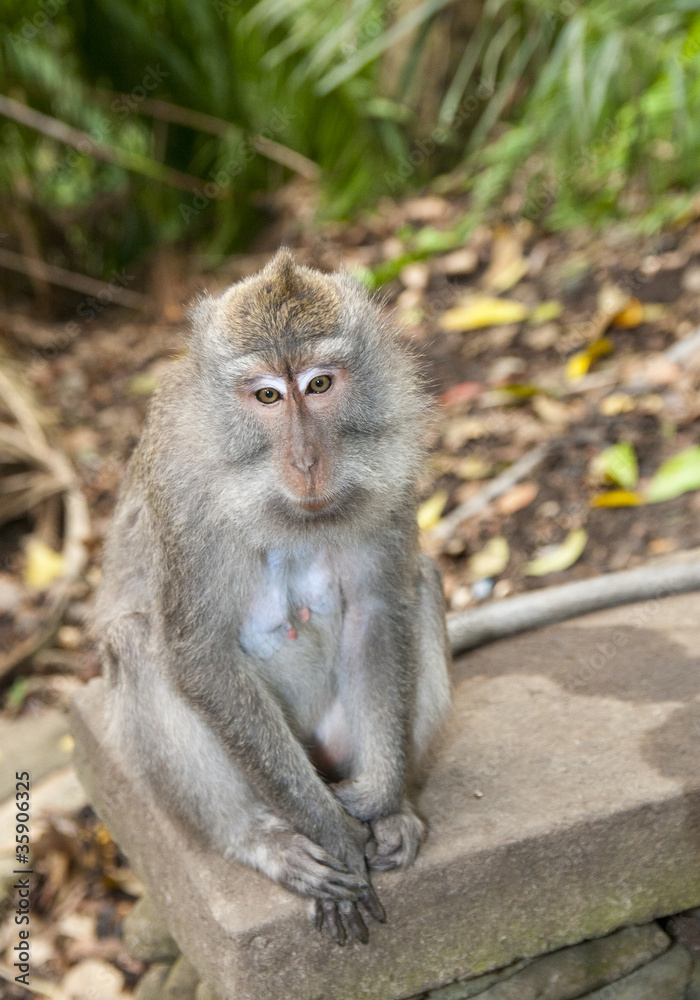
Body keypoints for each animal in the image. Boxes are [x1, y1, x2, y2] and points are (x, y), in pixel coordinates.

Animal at [93, 248, 452, 947]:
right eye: (266, 394)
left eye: (319, 385)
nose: (307, 461)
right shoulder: (184, 500)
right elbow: (200, 658)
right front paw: (333, 832)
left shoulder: (393, 474)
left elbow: (379, 609)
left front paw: (382, 801)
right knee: (138, 641)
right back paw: (262, 839)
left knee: (420, 583)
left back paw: (398, 810)